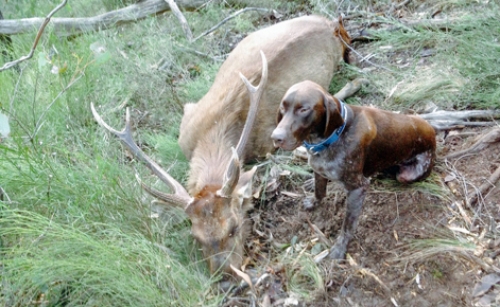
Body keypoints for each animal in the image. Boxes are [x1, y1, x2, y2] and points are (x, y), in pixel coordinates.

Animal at [272, 81, 436, 260]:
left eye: (304, 109)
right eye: (282, 108)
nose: (275, 138)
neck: (335, 135)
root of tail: (433, 134)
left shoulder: (357, 189)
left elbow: (348, 225)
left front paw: (340, 247)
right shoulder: (319, 168)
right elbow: (319, 190)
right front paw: (314, 201)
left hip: (407, 174)